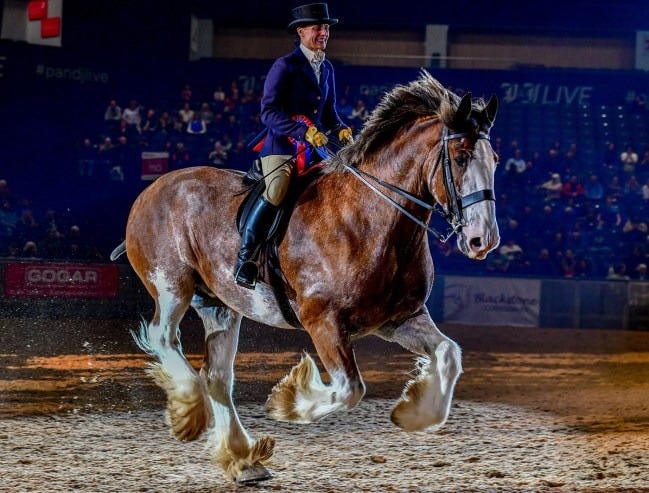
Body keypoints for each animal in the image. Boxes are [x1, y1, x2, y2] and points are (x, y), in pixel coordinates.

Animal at [111, 70, 499, 483]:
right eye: (460, 158)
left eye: (494, 159)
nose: (483, 240)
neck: (371, 219)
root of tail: (152, 189)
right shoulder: (323, 322)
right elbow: (349, 389)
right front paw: (288, 403)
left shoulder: (399, 319)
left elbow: (449, 353)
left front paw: (413, 414)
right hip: (172, 285)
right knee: (163, 337)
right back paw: (190, 409)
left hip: (219, 305)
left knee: (216, 377)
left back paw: (242, 459)